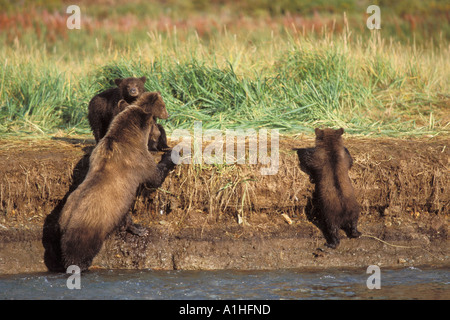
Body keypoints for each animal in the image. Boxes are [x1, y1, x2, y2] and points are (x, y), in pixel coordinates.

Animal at [60, 99, 177, 272]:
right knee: (77, 255)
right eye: (154, 124)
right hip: (88, 230)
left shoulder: (99, 151)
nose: (159, 129)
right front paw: (171, 154)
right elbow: (154, 178)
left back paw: (137, 228)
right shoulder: (139, 160)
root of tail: (66, 222)